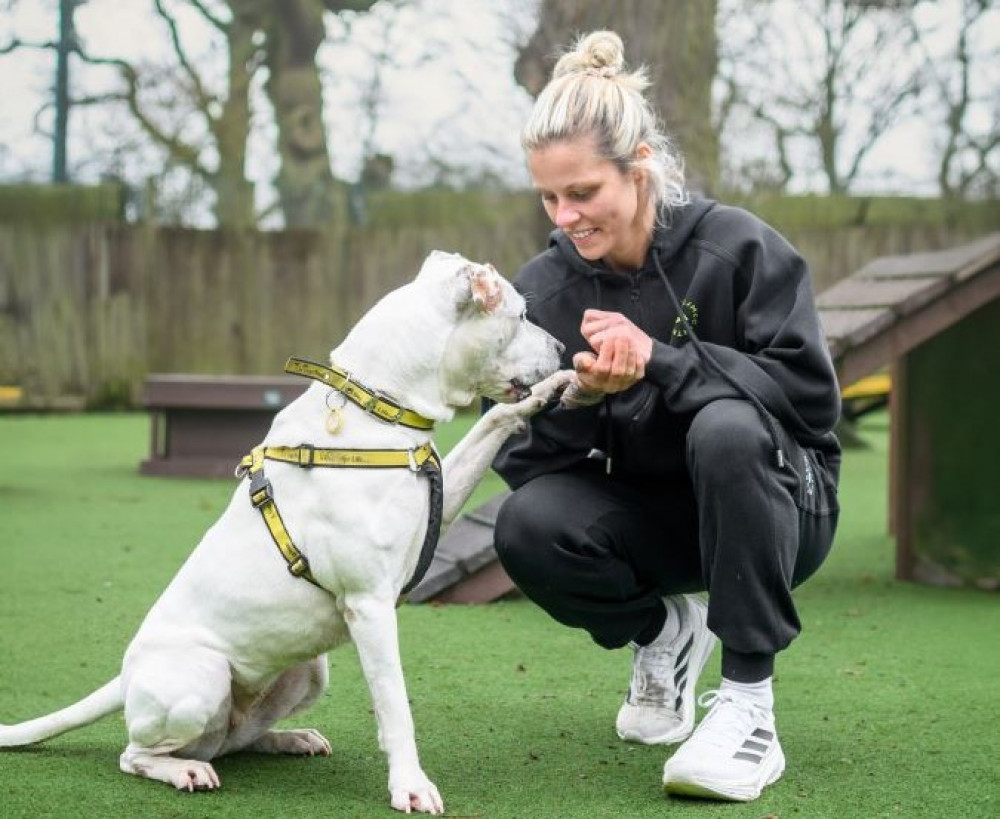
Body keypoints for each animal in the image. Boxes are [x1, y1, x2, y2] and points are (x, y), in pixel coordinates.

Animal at [0, 253, 572, 816]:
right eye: (521, 314)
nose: (563, 347)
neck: (377, 406)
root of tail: (124, 677)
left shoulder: (441, 503)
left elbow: (489, 424)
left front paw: (549, 391)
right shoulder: (370, 605)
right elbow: (395, 706)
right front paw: (410, 785)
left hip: (309, 671)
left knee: (234, 740)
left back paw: (288, 739)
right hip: (201, 678)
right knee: (136, 755)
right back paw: (184, 769)